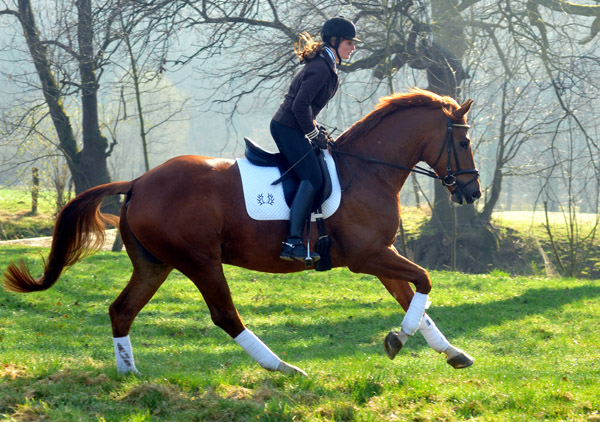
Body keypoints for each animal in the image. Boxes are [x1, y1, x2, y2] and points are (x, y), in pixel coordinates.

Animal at [1, 88, 478, 376]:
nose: (471, 191)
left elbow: (414, 297)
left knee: (121, 310)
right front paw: (398, 338)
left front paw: (450, 351)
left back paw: (129, 375)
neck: (367, 170)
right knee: (225, 315)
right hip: (200, 261)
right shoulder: (368, 256)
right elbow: (424, 282)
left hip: (155, 265)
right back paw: (282, 368)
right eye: (464, 142)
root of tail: (138, 182)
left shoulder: (380, 254)